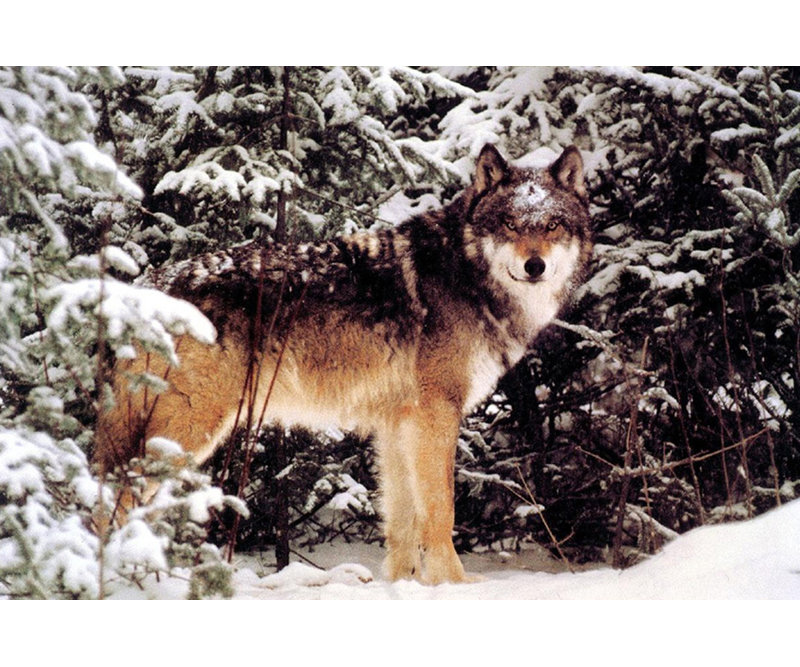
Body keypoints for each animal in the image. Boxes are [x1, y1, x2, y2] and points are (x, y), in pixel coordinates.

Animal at [94, 143, 593, 584]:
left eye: (552, 225)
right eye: (510, 224)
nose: (534, 266)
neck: (468, 275)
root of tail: (146, 285)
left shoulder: (397, 424)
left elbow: (403, 521)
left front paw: (406, 585)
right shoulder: (435, 415)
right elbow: (441, 511)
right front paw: (455, 584)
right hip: (188, 431)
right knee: (114, 498)